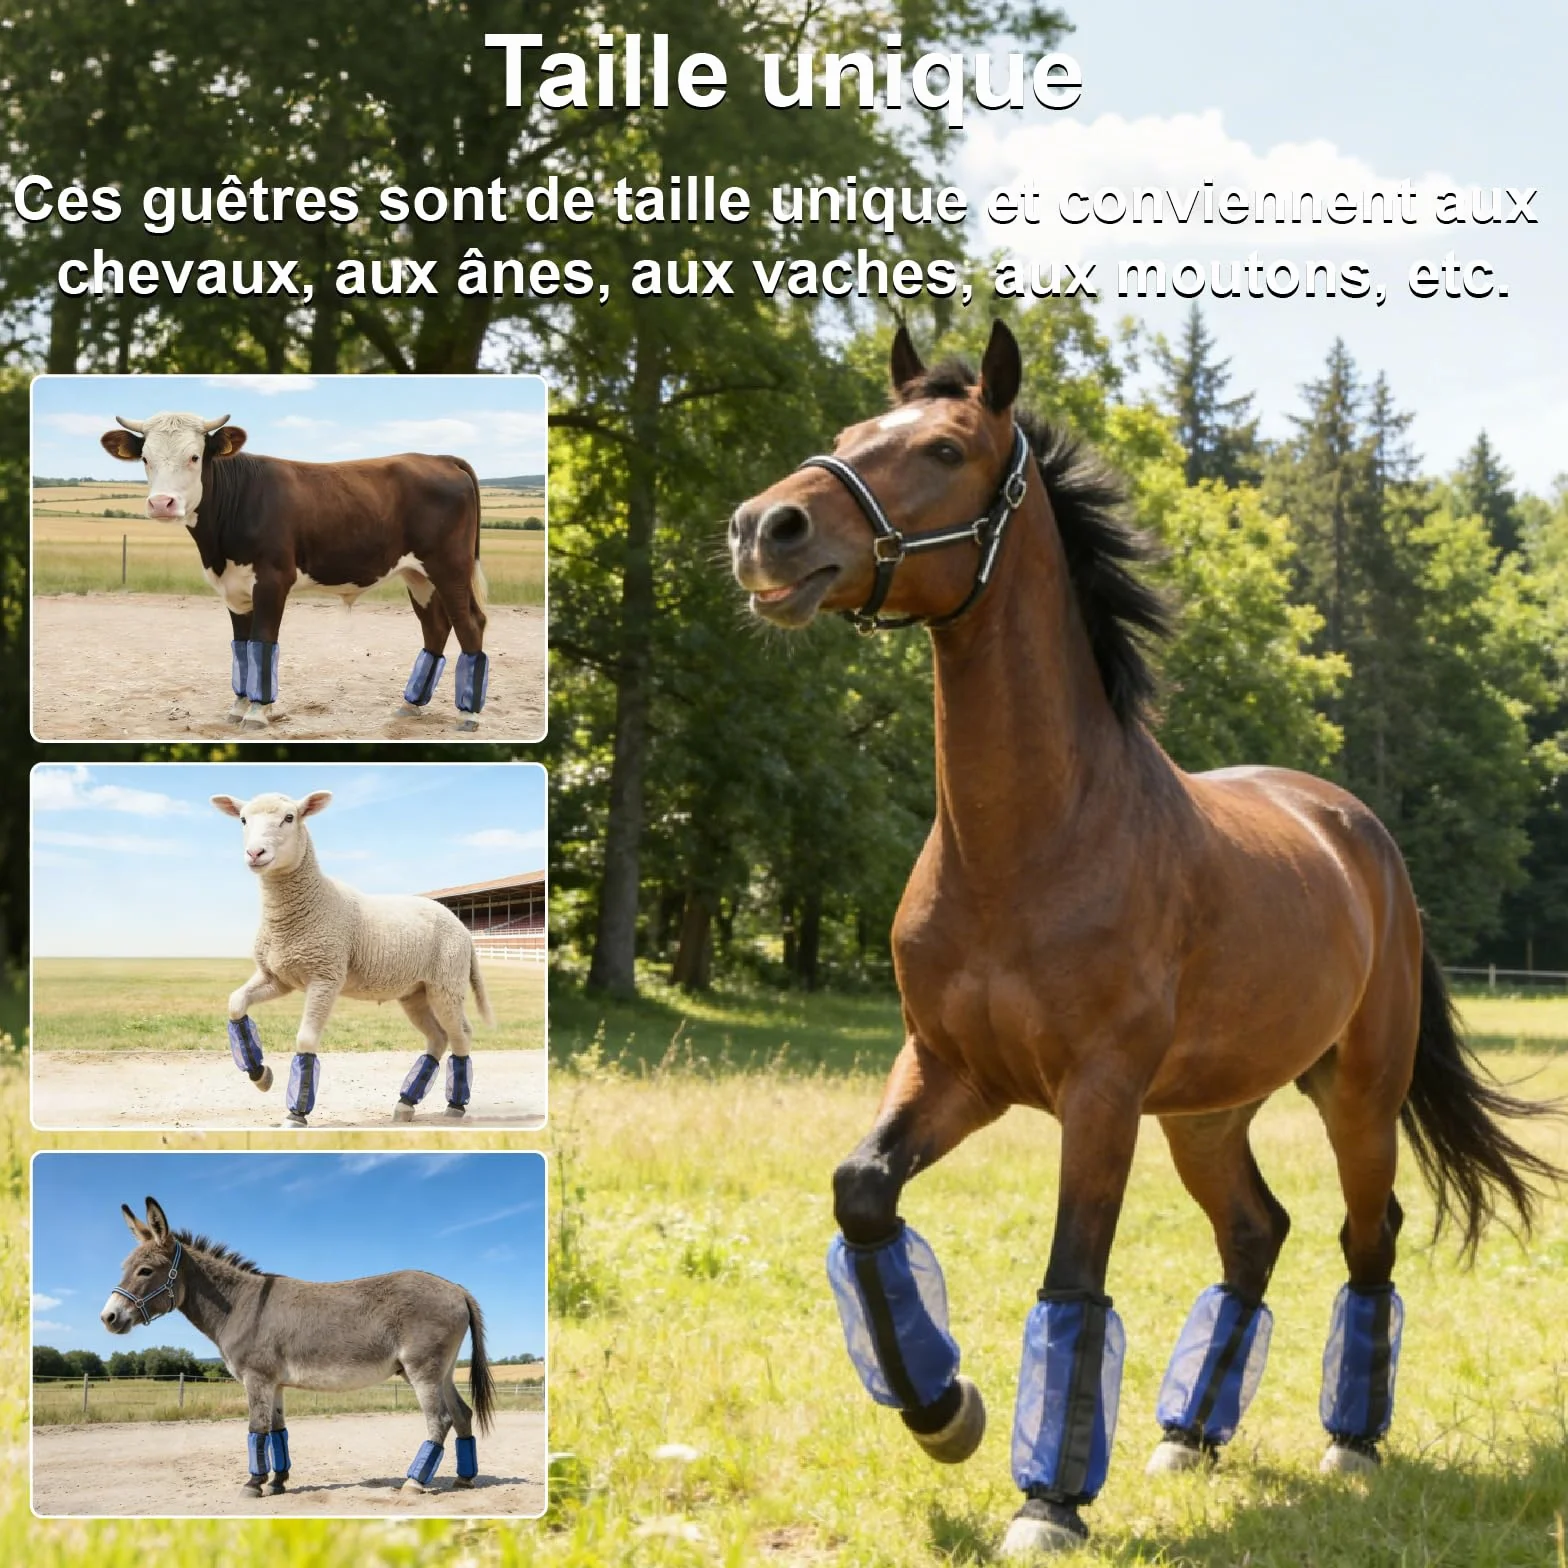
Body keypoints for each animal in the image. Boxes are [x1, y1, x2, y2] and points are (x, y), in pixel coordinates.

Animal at [100, 1196, 495, 1498]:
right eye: (125, 1267)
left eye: (145, 1271)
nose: (108, 1317)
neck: (240, 1305)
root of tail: (457, 1287)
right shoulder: (274, 1383)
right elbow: (277, 1432)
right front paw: (278, 1483)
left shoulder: (256, 1379)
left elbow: (256, 1429)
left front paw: (253, 1484)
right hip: (443, 1370)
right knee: (462, 1414)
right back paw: (464, 1478)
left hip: (422, 1369)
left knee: (439, 1420)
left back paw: (413, 1483)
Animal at [727, 320, 1562, 1556]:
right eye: (849, 432)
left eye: (941, 447)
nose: (765, 529)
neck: (1029, 840)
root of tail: (1354, 828)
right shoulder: (952, 1070)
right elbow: (862, 1192)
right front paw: (945, 1410)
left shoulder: (1099, 1093)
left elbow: (1073, 1274)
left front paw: (1049, 1501)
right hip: (1206, 1115)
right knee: (1255, 1232)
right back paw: (1189, 1432)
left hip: (1354, 1093)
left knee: (1367, 1235)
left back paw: (1350, 1440)